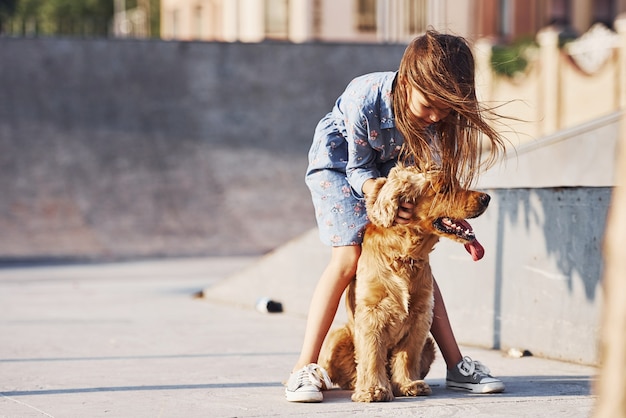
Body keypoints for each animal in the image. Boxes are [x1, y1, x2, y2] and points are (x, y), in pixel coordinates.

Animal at [320, 164, 490, 402]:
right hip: (337, 337)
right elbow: (372, 354)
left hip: (429, 344)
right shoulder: (372, 313)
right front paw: (373, 390)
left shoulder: (420, 315)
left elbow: (408, 354)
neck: (404, 255)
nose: (487, 197)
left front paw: (408, 384)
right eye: (444, 188)